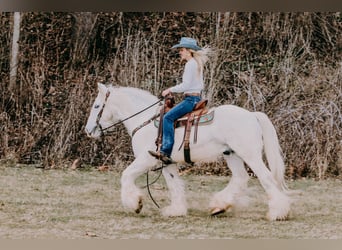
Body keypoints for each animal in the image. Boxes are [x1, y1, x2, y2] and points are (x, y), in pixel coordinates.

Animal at [85, 82, 292, 221]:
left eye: (97, 106)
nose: (88, 131)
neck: (145, 121)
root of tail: (252, 115)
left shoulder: (146, 159)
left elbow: (126, 175)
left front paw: (135, 204)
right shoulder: (166, 162)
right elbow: (174, 185)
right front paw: (176, 210)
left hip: (251, 155)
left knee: (266, 178)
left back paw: (277, 212)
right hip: (231, 154)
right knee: (240, 178)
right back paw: (219, 206)